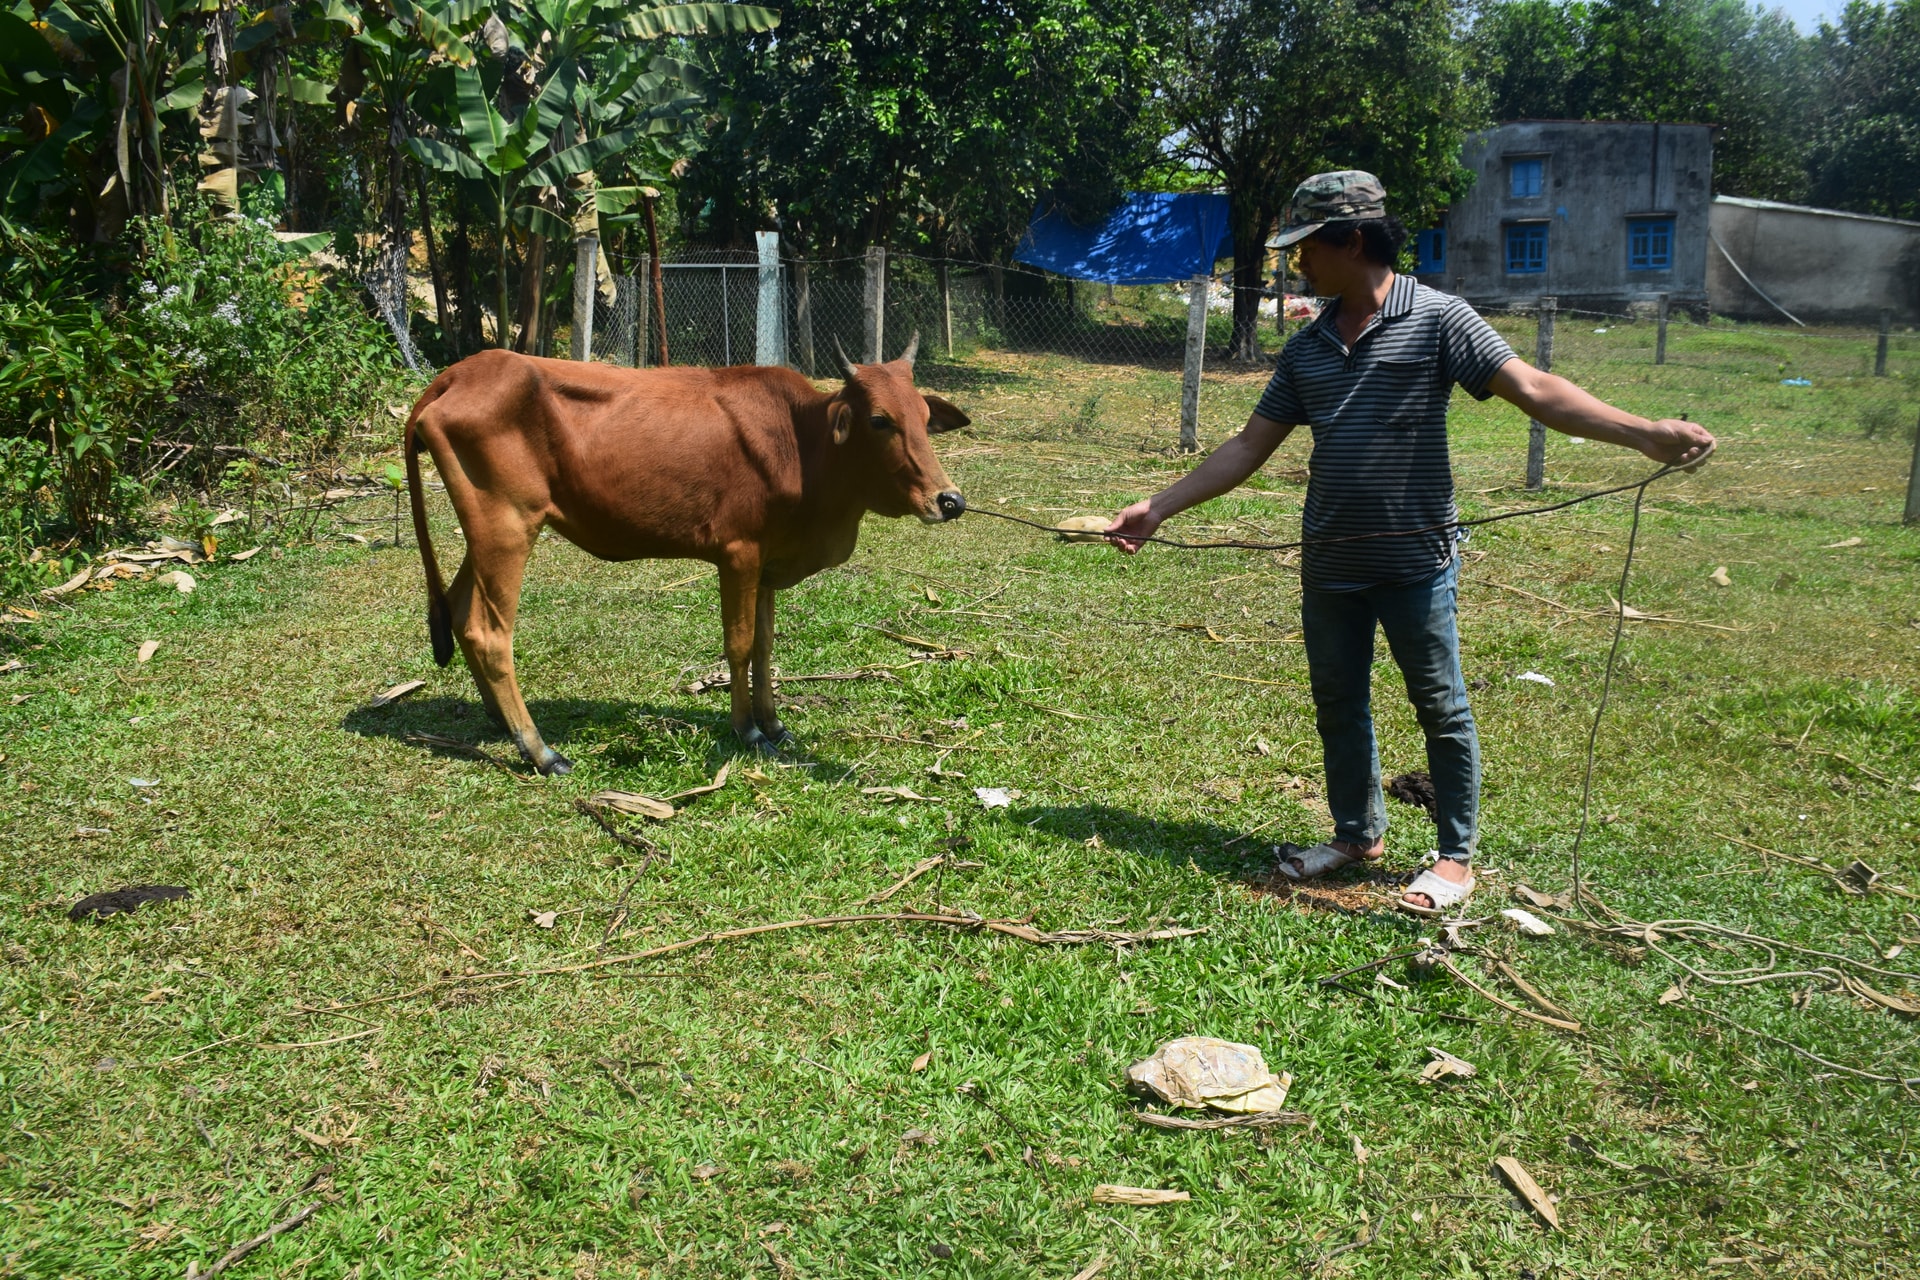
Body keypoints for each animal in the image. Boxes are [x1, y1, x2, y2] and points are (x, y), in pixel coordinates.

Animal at [407, 335, 975, 775]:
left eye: (925, 416)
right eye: (879, 420)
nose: (949, 501)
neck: (802, 442)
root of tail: (456, 376)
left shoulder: (767, 564)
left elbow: (766, 645)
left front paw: (774, 723)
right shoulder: (738, 554)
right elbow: (740, 646)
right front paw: (748, 730)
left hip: (486, 536)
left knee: (460, 612)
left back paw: (500, 722)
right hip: (507, 526)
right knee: (489, 632)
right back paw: (540, 750)